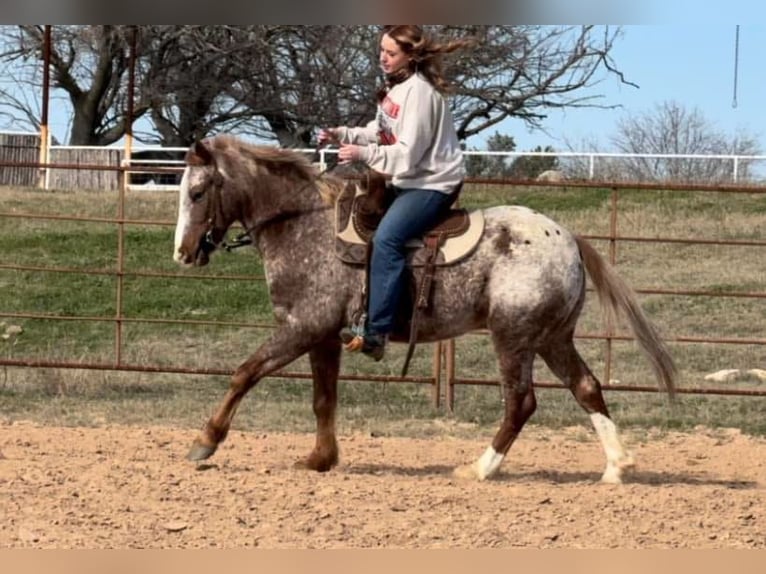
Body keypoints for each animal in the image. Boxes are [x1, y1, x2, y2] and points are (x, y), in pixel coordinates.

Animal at [172, 134, 676, 484]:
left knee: (520, 401)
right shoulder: (322, 337)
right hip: (552, 338)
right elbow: (323, 399)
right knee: (587, 387)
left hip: (513, 338)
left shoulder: (300, 328)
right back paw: (616, 468)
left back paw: (480, 469)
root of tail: (568, 237)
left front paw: (205, 442)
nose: (183, 252)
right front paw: (320, 459)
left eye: (197, 193)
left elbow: (245, 373)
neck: (304, 227)